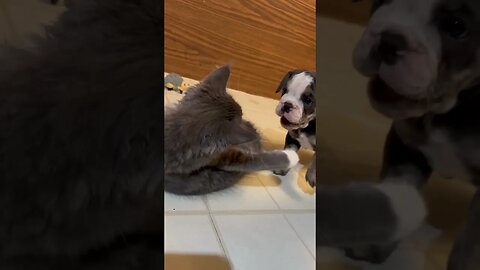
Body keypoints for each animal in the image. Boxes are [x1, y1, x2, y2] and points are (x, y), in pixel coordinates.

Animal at [316, 0, 480, 268]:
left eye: (457, 26)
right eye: (381, 0)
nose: (389, 40)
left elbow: (470, 243)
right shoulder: (406, 146)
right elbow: (399, 183)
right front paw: (373, 243)